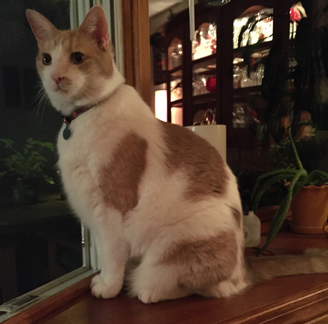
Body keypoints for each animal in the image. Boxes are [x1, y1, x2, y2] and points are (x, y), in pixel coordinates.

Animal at [25, 5, 328, 304]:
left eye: (77, 58)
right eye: (47, 59)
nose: (56, 77)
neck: (83, 116)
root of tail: (244, 266)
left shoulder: (110, 210)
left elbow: (111, 254)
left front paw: (109, 286)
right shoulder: (91, 209)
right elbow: (102, 248)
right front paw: (103, 280)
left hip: (177, 244)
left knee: (198, 285)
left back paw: (147, 290)